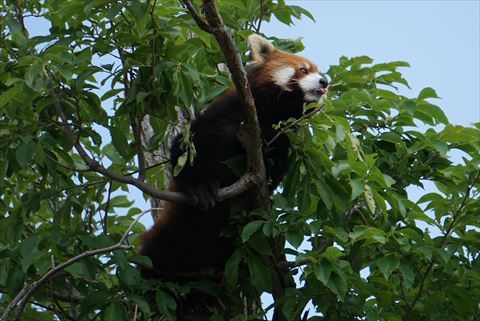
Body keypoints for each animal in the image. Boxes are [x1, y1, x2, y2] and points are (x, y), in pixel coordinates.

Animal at [138, 35, 326, 278]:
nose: (324, 82)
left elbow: (275, 170)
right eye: (303, 70)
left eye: (318, 71)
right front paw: (200, 187)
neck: (269, 115)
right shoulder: (224, 115)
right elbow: (186, 148)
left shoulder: (281, 139)